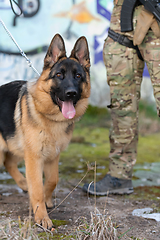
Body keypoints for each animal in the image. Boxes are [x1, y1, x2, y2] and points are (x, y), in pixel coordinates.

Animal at [0, 34, 90, 230]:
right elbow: (38, 188)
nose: (71, 93)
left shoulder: (52, 156)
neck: (51, 118)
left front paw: (46, 200)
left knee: (9, 162)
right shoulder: (34, 158)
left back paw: (23, 183)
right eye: (59, 75)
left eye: (78, 76)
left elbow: (52, 181)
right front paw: (42, 217)